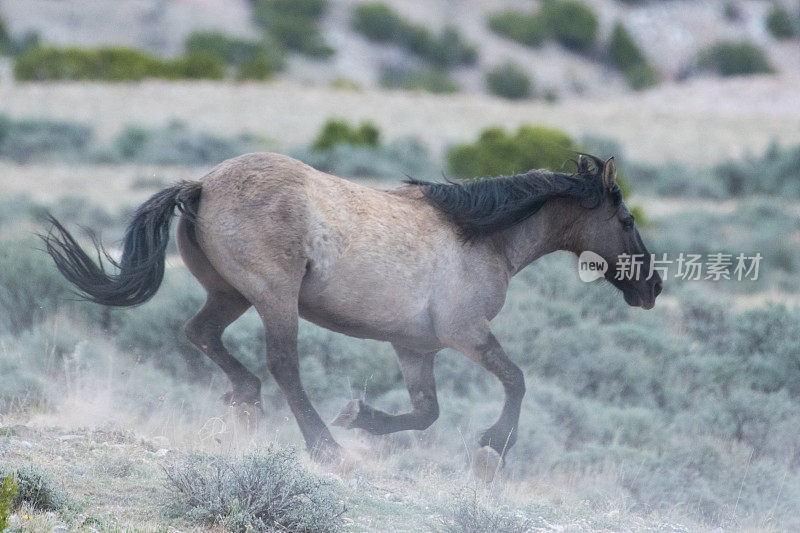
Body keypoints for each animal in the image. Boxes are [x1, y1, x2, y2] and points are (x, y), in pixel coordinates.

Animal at [42, 151, 664, 470]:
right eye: (626, 221)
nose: (652, 287)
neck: (480, 235)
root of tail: (200, 186)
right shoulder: (466, 333)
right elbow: (516, 380)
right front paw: (495, 442)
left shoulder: (415, 346)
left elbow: (426, 412)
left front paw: (361, 416)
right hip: (274, 300)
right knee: (283, 366)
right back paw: (324, 448)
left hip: (230, 295)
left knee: (201, 335)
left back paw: (248, 403)